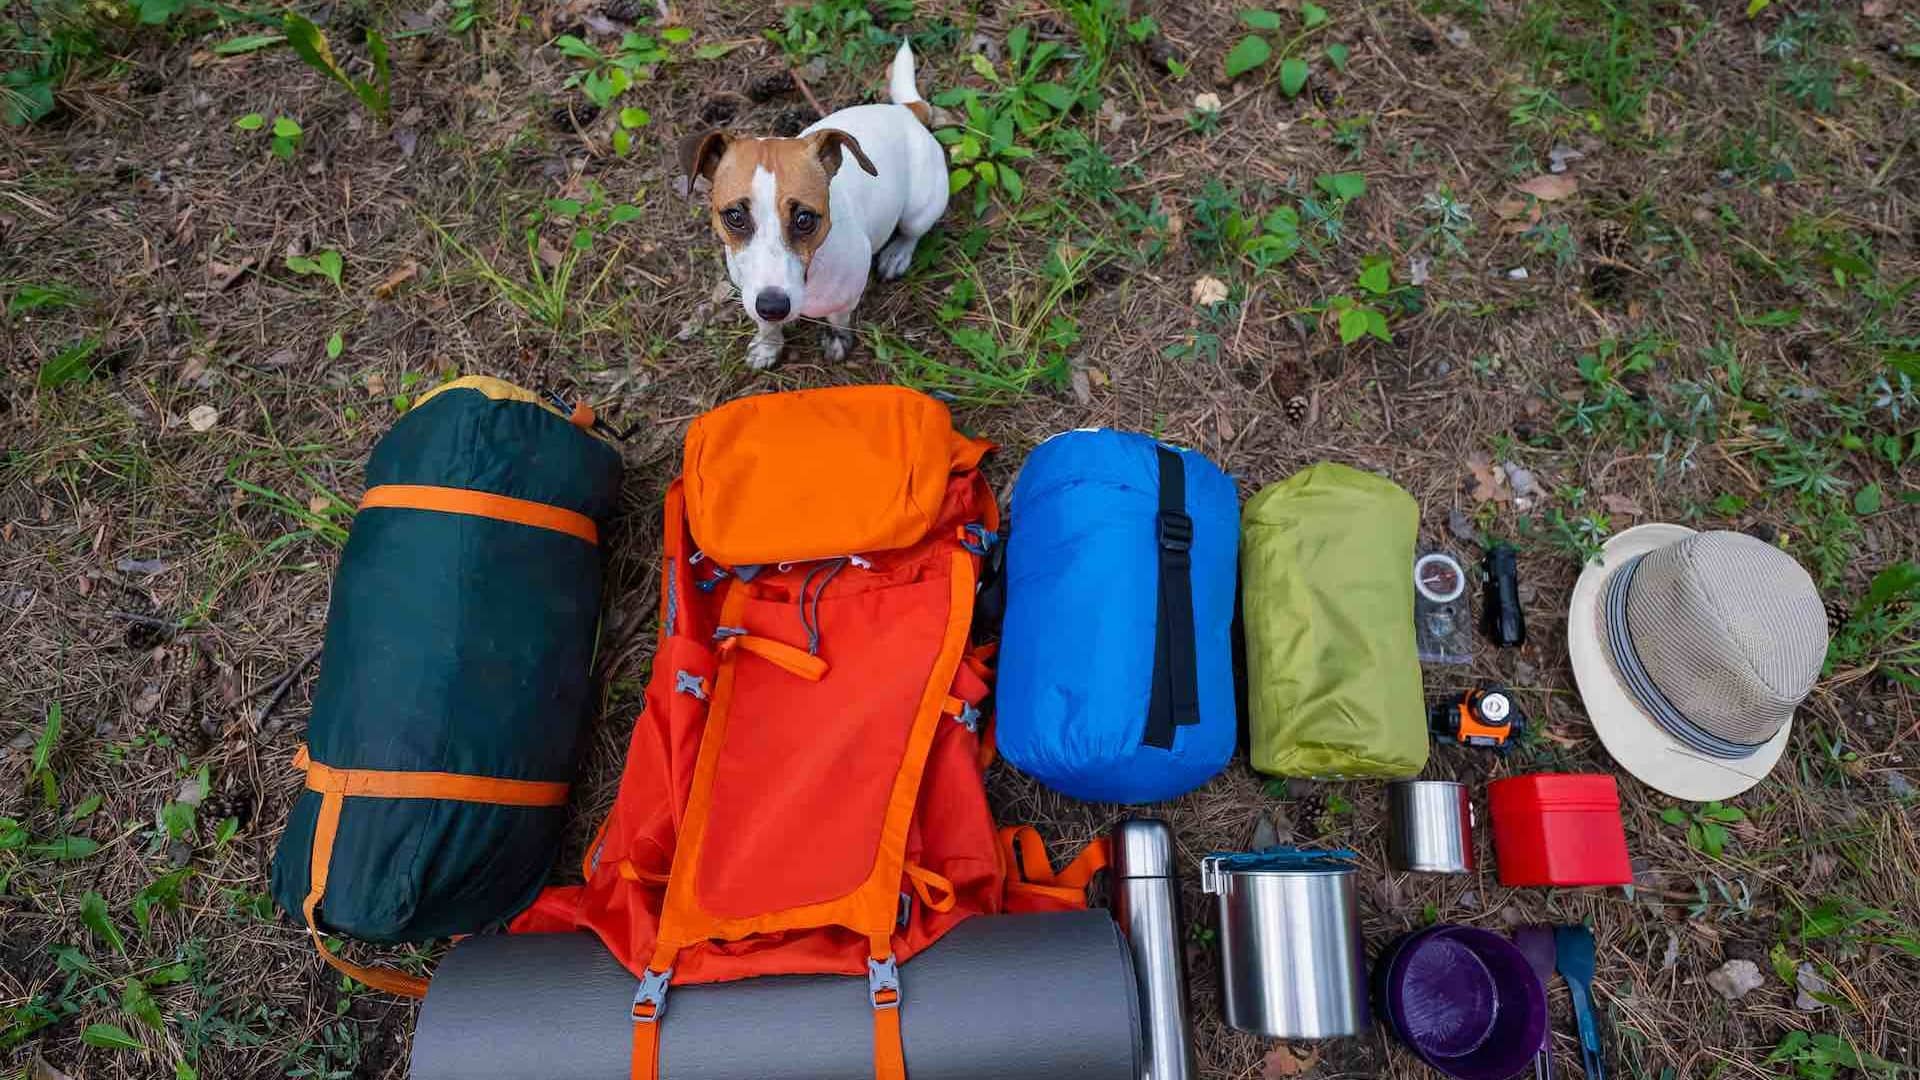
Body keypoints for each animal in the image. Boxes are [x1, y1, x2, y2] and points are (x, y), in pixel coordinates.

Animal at [679, 39, 948, 368]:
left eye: (805, 219)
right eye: (735, 216)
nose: (773, 305)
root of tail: (907, 112)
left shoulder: (846, 296)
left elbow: (839, 319)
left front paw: (837, 339)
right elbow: (766, 327)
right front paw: (768, 345)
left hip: (920, 208)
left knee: (913, 232)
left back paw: (897, 254)